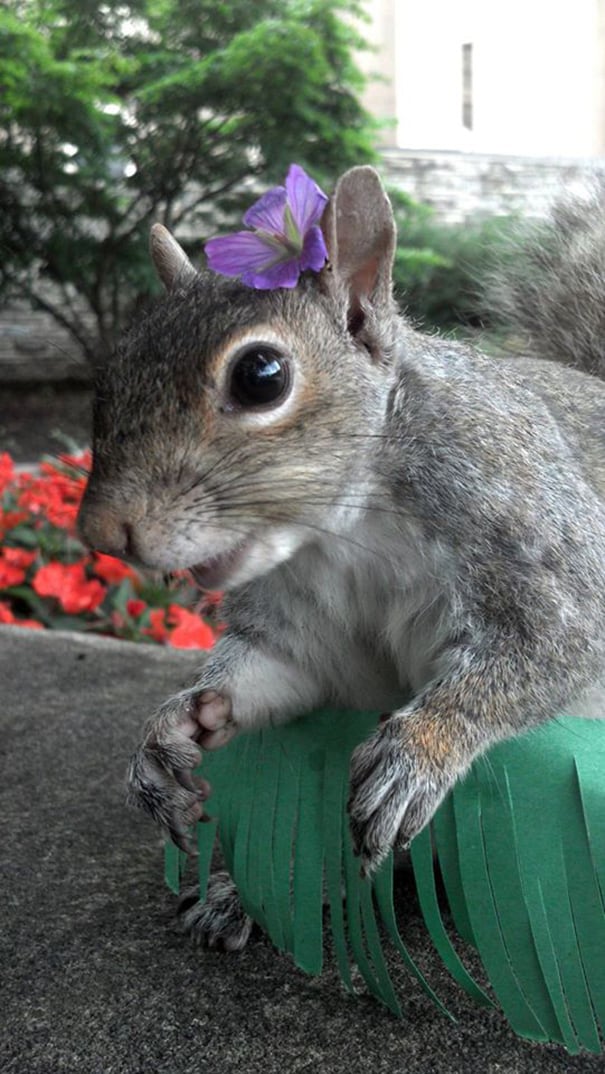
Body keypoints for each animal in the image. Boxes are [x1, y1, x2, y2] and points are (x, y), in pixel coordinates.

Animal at [77, 167, 605, 949]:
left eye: (261, 374)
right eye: (110, 373)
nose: (101, 532)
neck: (345, 534)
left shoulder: (540, 545)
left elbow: (545, 650)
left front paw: (419, 748)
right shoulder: (302, 630)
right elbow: (275, 670)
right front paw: (175, 726)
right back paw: (248, 895)